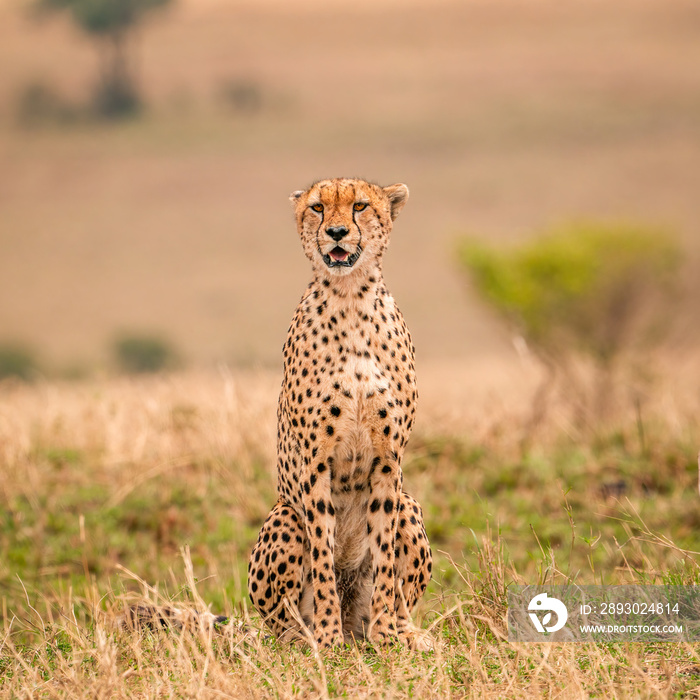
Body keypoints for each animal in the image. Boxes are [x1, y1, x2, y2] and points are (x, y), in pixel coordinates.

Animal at [246, 178, 432, 648]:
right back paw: (308, 639)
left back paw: (402, 632)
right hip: (284, 518)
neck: (350, 299)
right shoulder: (315, 463)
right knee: (284, 620)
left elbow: (384, 558)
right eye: (318, 208)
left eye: (359, 206)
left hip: (409, 503)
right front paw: (328, 642)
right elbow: (323, 560)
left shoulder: (388, 460)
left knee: (398, 596)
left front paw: (385, 636)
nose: (335, 232)